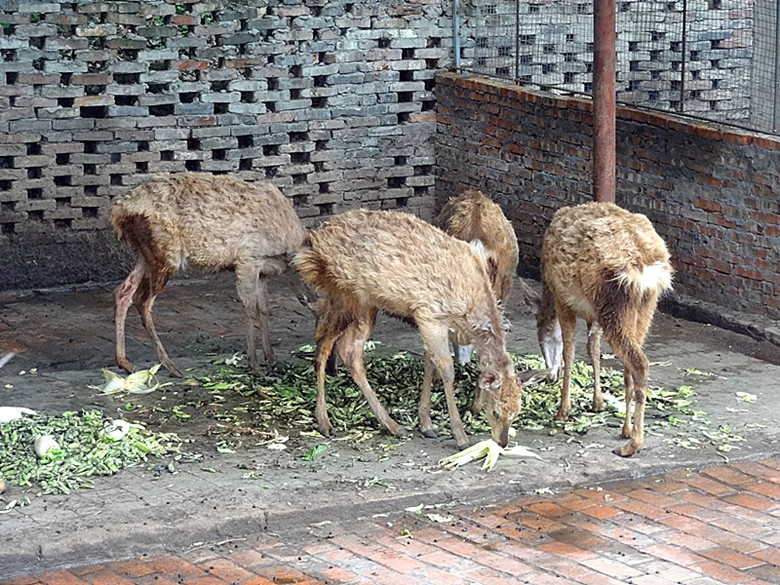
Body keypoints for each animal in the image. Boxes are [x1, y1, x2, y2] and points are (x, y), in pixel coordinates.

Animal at [111, 173, 309, 376]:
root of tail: (118, 212)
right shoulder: (247, 260)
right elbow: (250, 307)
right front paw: (254, 363)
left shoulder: (263, 272)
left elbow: (264, 308)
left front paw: (271, 358)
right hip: (165, 250)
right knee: (142, 300)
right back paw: (168, 364)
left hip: (146, 252)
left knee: (124, 291)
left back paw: (125, 362)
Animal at [293, 209, 524, 449]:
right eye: (496, 412)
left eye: (516, 412)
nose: (502, 442)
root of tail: (310, 245)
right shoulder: (430, 314)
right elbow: (446, 369)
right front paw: (460, 436)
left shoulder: (435, 324)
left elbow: (430, 364)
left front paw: (426, 425)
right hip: (343, 294)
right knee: (322, 344)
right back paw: (325, 422)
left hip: (366, 305)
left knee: (349, 351)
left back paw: (392, 425)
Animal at [535, 201, 673, 457]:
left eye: (541, 336)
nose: (549, 375)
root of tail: (647, 266)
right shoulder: (593, 315)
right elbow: (593, 349)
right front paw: (597, 402)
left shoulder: (564, 302)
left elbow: (569, 352)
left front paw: (563, 410)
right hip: (644, 309)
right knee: (630, 366)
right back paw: (626, 430)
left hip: (614, 305)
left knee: (639, 363)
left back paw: (632, 445)